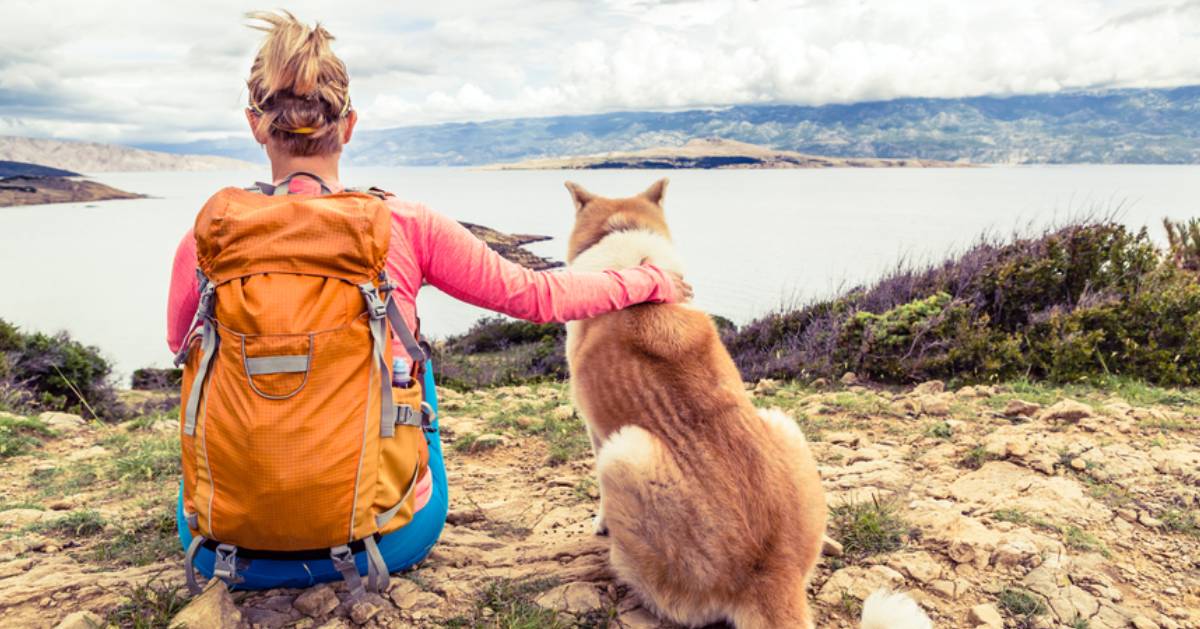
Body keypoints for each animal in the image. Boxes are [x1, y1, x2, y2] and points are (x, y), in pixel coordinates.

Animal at [564, 177, 936, 629]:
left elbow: (599, 495)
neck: (630, 249)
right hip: (781, 422)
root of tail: (770, 572)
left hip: (625, 451)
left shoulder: (597, 432)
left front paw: (600, 523)